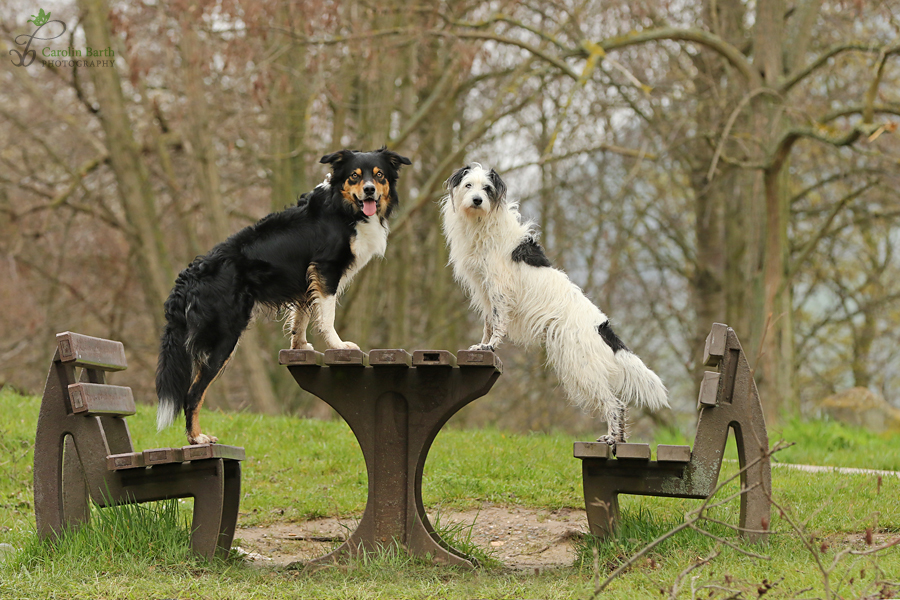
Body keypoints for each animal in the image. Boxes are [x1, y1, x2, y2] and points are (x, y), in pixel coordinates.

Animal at [157, 147, 412, 442]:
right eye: (354, 176)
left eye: (379, 175)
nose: (369, 190)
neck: (343, 208)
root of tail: (188, 278)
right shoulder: (325, 269)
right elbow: (327, 316)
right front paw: (338, 345)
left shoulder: (307, 279)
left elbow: (302, 315)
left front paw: (299, 347)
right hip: (223, 338)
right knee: (192, 393)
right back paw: (197, 437)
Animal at [442, 164, 668, 446]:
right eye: (468, 185)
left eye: (487, 188)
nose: (477, 201)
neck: (482, 224)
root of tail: (602, 327)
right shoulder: (485, 291)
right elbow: (488, 323)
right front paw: (481, 347)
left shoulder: (500, 289)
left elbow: (498, 323)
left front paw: (489, 347)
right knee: (619, 404)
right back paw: (617, 440)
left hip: (580, 367)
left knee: (615, 404)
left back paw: (611, 439)